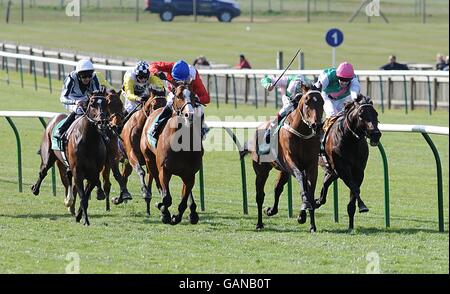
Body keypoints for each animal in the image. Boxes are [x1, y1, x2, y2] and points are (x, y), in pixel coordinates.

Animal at [31, 92, 110, 225]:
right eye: (92, 103)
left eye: (106, 103)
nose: (102, 121)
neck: (89, 141)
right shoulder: (78, 172)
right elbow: (83, 197)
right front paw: (85, 220)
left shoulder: (93, 174)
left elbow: (86, 196)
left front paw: (79, 216)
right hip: (48, 156)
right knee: (43, 172)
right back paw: (35, 189)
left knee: (67, 177)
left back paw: (69, 201)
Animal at [141, 83, 202, 225]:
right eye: (178, 96)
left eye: (193, 96)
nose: (189, 115)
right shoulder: (164, 170)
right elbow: (167, 198)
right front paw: (164, 212)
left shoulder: (190, 174)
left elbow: (183, 201)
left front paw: (176, 217)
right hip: (150, 160)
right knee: (158, 183)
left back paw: (193, 213)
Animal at [244, 85, 326, 232]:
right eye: (307, 102)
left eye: (322, 102)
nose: (316, 126)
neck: (302, 133)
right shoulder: (291, 161)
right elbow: (300, 178)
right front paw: (305, 206)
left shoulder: (311, 166)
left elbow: (309, 190)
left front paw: (310, 223)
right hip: (261, 170)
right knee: (260, 195)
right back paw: (259, 223)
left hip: (283, 170)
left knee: (277, 188)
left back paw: (271, 210)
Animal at [314, 95, 382, 231]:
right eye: (361, 115)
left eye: (376, 113)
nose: (376, 134)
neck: (350, 139)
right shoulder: (343, 169)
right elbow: (354, 188)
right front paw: (363, 206)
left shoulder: (358, 171)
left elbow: (354, 194)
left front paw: (351, 226)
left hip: (332, 172)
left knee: (325, 185)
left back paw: (318, 201)